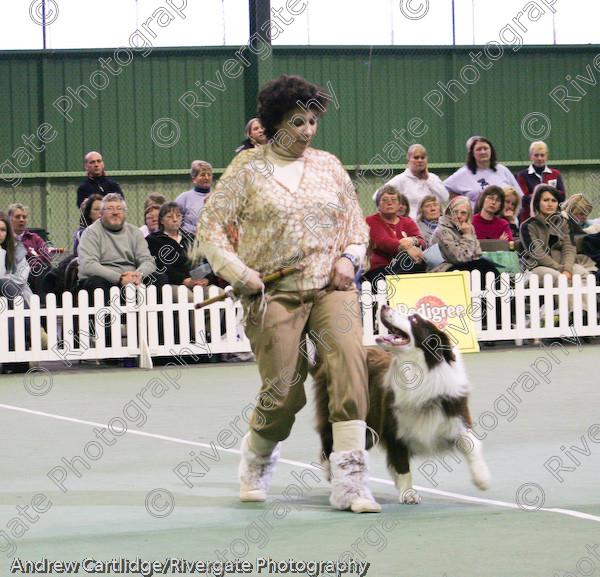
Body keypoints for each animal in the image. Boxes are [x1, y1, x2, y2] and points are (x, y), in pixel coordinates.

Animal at [312, 304, 490, 502]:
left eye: (414, 319)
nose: (383, 306)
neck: (418, 370)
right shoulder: (393, 427)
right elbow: (402, 463)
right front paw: (408, 493)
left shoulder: (455, 413)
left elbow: (473, 444)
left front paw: (482, 478)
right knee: (328, 436)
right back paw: (329, 470)